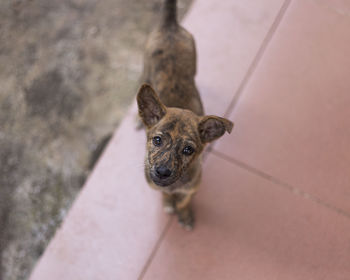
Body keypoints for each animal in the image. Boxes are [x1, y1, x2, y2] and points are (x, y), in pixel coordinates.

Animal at [137, 0, 232, 230]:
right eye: (157, 140)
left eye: (189, 150)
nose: (162, 172)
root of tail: (170, 25)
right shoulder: (155, 185)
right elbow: (164, 194)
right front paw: (168, 202)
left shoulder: (193, 188)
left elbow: (184, 200)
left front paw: (185, 213)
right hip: (146, 66)